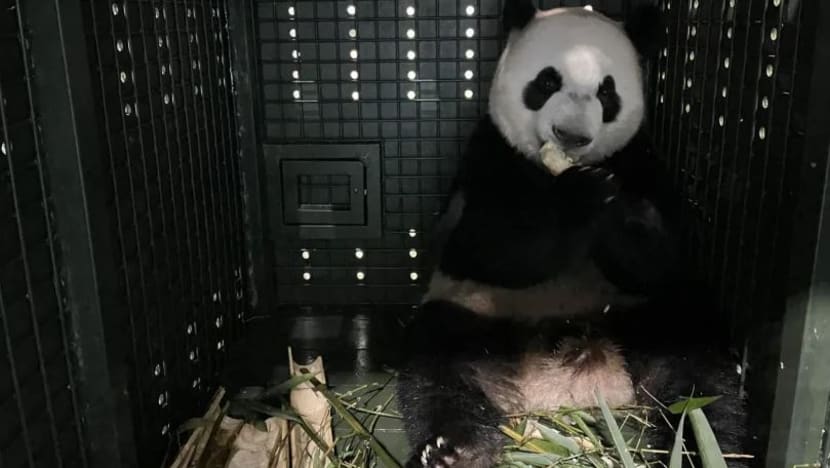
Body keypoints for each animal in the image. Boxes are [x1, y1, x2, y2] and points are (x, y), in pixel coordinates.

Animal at [397, 2, 750, 468]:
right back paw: (454, 449)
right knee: (439, 367)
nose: (572, 136)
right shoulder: (487, 155)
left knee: (699, 374)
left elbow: (668, 254)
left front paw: (617, 210)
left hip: (648, 316)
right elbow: (477, 246)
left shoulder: (641, 159)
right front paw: (579, 198)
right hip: (476, 314)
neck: (554, 168)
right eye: (548, 81)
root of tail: (567, 388)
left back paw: (704, 446)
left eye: (607, 92)